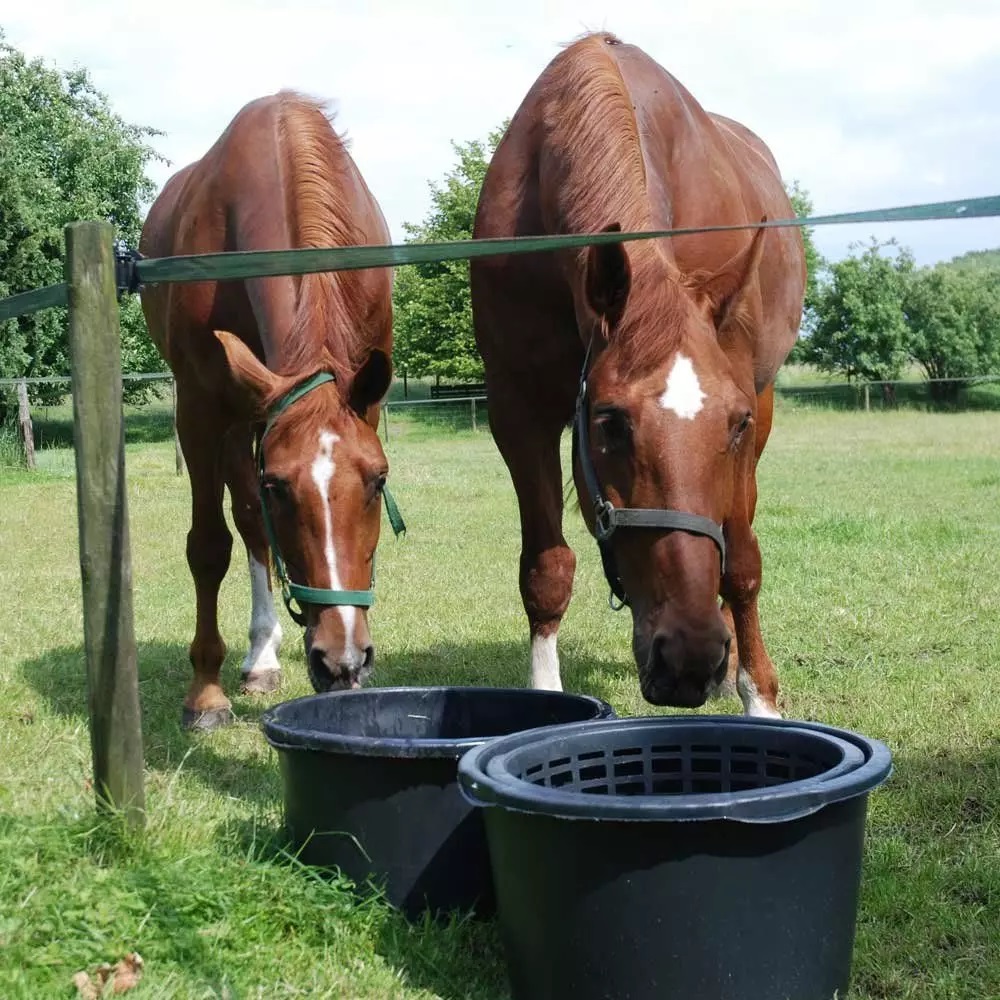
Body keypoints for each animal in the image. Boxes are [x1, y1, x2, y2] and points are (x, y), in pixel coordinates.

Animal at [138, 92, 402, 736]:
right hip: (238, 419)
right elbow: (210, 545)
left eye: (378, 480)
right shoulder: (201, 409)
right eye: (280, 484)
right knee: (249, 525)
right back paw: (256, 657)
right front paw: (205, 695)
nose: (343, 660)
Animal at [472, 33, 808, 720]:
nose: (690, 657)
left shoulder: (749, 404)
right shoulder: (518, 409)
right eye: (610, 424)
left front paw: (758, 695)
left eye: (732, 424)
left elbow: (742, 563)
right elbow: (546, 570)